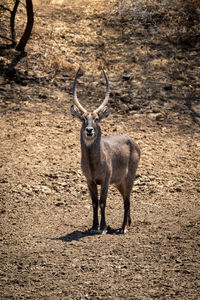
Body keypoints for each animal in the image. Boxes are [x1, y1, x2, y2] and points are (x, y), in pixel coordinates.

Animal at [70, 68, 141, 234]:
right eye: (83, 118)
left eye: (96, 118)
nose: (89, 130)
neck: (93, 162)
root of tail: (133, 142)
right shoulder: (90, 180)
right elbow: (94, 202)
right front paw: (93, 227)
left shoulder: (105, 180)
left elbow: (102, 202)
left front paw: (102, 228)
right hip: (119, 182)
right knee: (126, 198)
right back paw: (128, 223)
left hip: (129, 177)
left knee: (127, 200)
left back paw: (124, 228)